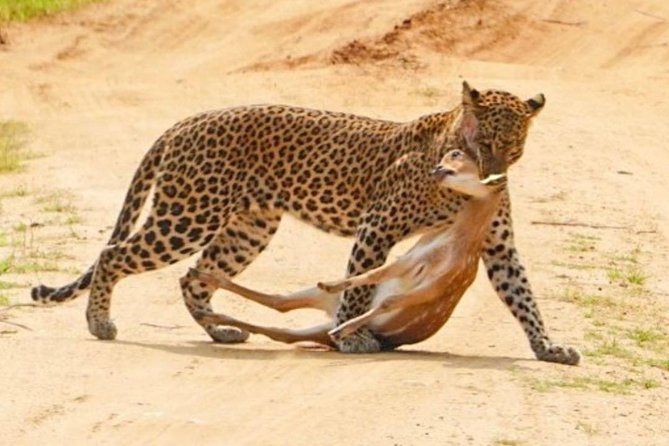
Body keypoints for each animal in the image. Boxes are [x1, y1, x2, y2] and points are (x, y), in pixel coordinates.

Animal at [31, 82, 580, 365]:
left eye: (514, 147)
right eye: (483, 142)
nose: (496, 175)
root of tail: (186, 121)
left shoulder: (498, 245)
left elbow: (523, 296)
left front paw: (548, 346)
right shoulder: (377, 226)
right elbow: (358, 286)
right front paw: (350, 337)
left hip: (248, 227)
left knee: (194, 276)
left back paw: (219, 331)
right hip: (190, 214)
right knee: (114, 255)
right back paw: (100, 323)